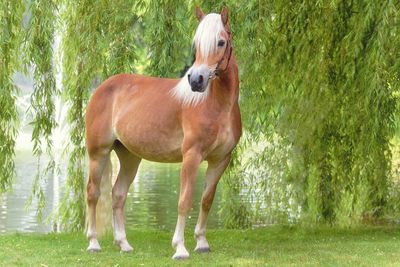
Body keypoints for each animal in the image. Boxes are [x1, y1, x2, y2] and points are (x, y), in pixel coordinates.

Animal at [85, 6, 241, 262]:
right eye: (197, 43)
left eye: (221, 42)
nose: (196, 80)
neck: (217, 105)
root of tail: (103, 87)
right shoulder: (191, 157)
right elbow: (184, 201)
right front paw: (180, 248)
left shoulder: (220, 160)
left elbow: (206, 200)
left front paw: (202, 243)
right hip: (98, 153)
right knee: (93, 193)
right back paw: (93, 243)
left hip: (129, 156)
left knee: (118, 194)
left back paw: (123, 244)